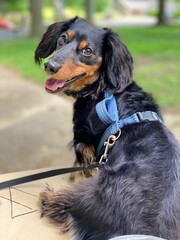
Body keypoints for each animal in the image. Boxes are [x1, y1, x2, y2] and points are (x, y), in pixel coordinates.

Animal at [34, 16, 180, 240]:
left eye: (87, 51)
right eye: (62, 39)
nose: (50, 65)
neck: (103, 90)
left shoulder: (83, 140)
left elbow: (83, 165)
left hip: (89, 193)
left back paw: (49, 195)